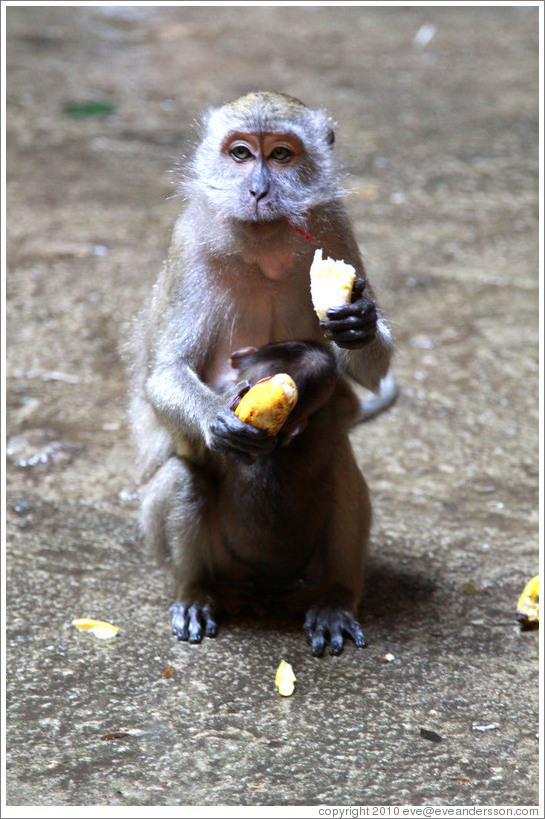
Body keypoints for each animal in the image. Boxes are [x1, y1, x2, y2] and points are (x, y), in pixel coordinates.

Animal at [130, 91, 398, 652]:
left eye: (280, 155)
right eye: (239, 154)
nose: (257, 189)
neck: (265, 240)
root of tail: (265, 586)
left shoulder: (335, 227)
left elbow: (366, 372)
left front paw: (359, 323)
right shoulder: (190, 245)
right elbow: (164, 374)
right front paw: (214, 419)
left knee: (342, 470)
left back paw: (337, 598)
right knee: (186, 479)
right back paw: (197, 592)